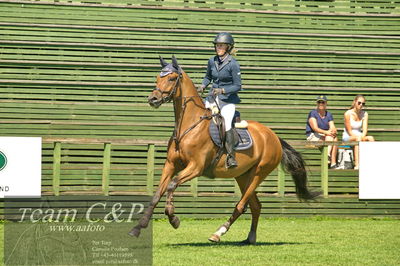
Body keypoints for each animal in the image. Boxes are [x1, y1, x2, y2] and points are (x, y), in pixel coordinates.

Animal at [129, 56, 318, 245]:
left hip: (259, 173)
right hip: (243, 175)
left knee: (241, 205)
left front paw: (173, 218)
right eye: (157, 78)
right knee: (255, 206)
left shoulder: (195, 167)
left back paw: (218, 233)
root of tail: (273, 136)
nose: (153, 99)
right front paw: (138, 228)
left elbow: (172, 185)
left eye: (171, 78)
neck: (189, 125)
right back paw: (250, 238)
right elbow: (157, 194)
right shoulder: (171, 165)